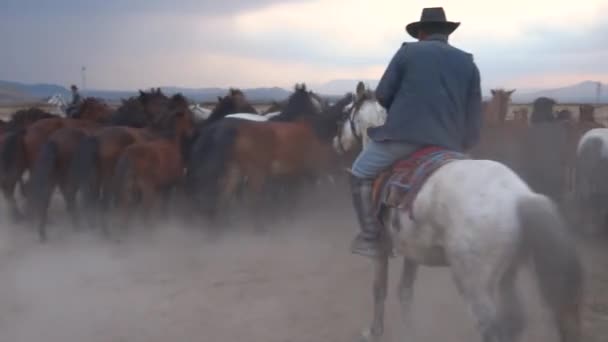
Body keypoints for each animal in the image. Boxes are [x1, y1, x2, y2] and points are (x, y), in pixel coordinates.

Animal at [109, 101, 195, 235]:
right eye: (188, 118)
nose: (192, 132)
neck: (171, 141)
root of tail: (128, 157)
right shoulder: (172, 185)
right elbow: (165, 207)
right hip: (147, 190)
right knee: (144, 213)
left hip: (128, 190)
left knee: (126, 211)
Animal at [338, 83, 584, 342]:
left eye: (345, 113)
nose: (337, 142)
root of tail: (520, 197)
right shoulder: (411, 248)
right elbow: (405, 291)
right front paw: (410, 329)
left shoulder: (381, 250)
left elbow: (379, 290)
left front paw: (374, 331)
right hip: (507, 274)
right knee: (514, 320)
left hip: (474, 285)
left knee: (492, 329)